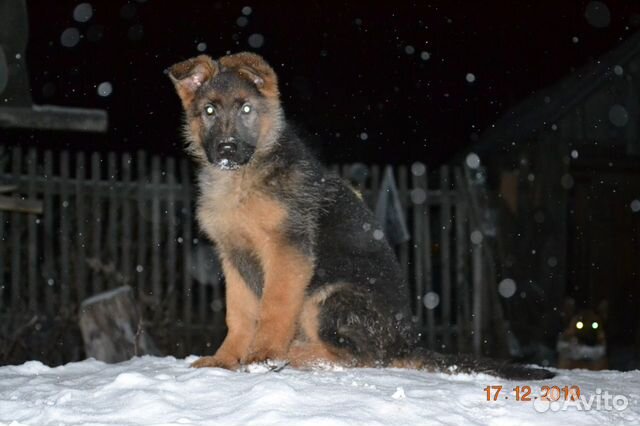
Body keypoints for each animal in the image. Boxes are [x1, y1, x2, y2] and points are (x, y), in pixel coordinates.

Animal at [168, 50, 552, 380]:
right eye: (209, 111)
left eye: (246, 109)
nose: (226, 149)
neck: (242, 176)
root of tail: (404, 343)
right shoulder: (233, 256)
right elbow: (240, 314)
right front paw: (225, 359)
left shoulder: (287, 250)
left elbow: (274, 306)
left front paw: (263, 355)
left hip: (328, 294)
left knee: (359, 356)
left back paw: (295, 354)